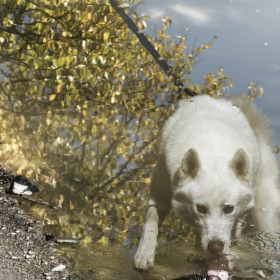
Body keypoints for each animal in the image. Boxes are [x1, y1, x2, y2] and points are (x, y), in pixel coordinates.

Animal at [133, 94, 280, 270]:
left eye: (229, 208)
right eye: (201, 208)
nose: (215, 247)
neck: (212, 147)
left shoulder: (240, 214)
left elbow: (232, 234)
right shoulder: (158, 199)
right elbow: (150, 224)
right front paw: (144, 255)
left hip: (264, 216)